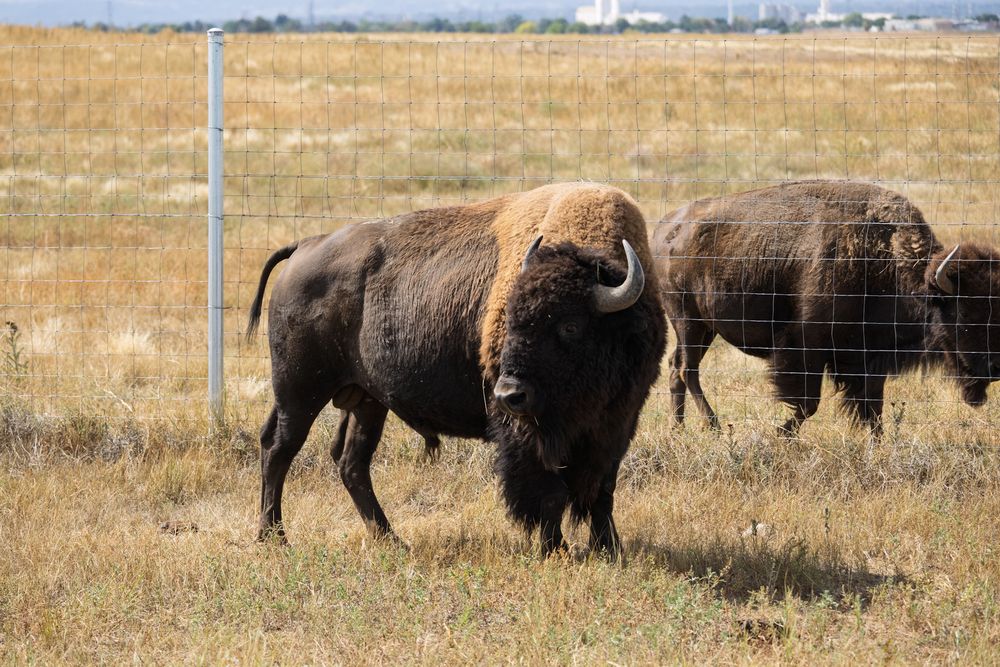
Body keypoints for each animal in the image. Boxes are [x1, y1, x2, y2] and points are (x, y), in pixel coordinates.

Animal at [247, 183, 666, 558]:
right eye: (510, 320)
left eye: (571, 326)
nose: (508, 393)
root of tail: (305, 245)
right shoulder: (527, 432)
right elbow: (548, 491)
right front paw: (555, 550)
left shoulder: (617, 425)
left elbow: (602, 490)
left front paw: (609, 549)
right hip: (300, 391)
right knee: (278, 448)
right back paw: (274, 537)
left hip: (366, 401)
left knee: (351, 462)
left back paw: (391, 540)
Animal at [654, 180, 1000, 436]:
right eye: (964, 315)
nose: (993, 369)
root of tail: (666, 227)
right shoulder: (806, 347)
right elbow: (809, 403)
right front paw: (779, 434)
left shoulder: (871, 358)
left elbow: (872, 409)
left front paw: (877, 446)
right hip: (688, 320)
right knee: (687, 369)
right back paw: (712, 427)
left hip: (703, 327)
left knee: (676, 366)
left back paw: (678, 429)